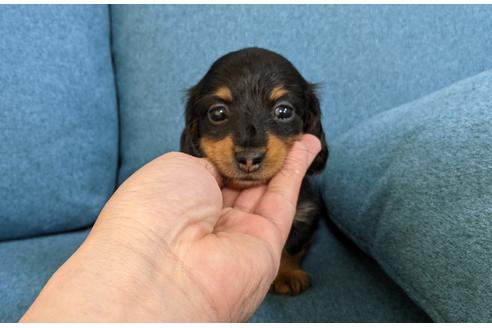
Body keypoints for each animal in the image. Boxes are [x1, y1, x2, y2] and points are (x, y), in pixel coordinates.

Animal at [180, 47, 326, 296]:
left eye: (284, 111)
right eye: (217, 113)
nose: (249, 158)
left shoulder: (308, 212)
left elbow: (293, 245)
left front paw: (288, 273)